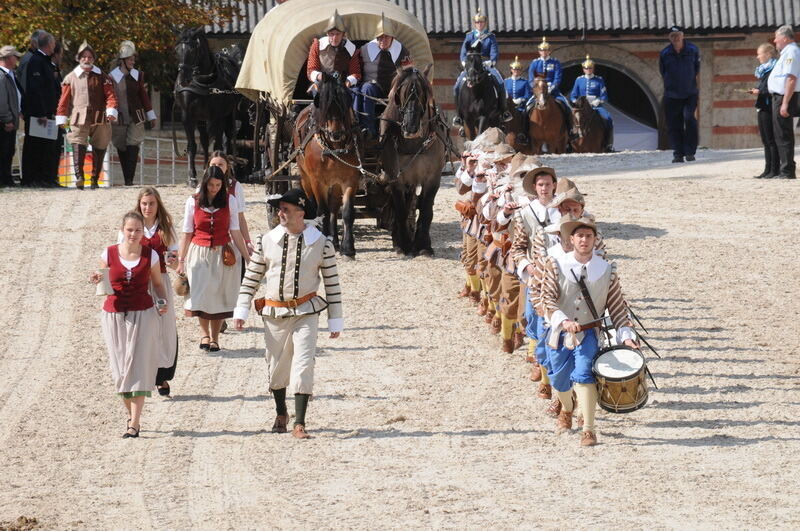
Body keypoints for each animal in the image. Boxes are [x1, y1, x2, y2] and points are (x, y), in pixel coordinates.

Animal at [173, 30, 241, 187]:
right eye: (177, 49)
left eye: (193, 50)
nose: (183, 79)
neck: (201, 83)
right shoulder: (188, 116)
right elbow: (192, 145)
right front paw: (192, 177)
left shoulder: (217, 116)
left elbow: (217, 146)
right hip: (202, 118)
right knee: (204, 140)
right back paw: (205, 167)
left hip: (227, 115)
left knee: (227, 139)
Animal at [294, 72, 362, 260]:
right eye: (324, 104)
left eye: (346, 101)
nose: (336, 134)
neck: (333, 147)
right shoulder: (318, 181)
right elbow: (321, 211)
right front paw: (321, 239)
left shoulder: (350, 180)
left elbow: (346, 212)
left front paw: (348, 248)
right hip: (305, 177)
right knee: (313, 204)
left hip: (335, 183)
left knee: (333, 207)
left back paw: (335, 240)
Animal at [380, 65, 446, 256]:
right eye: (401, 93)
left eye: (423, 93)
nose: (410, 127)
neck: (415, 144)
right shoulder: (396, 178)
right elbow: (401, 210)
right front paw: (403, 245)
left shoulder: (433, 178)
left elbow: (426, 209)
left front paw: (423, 245)